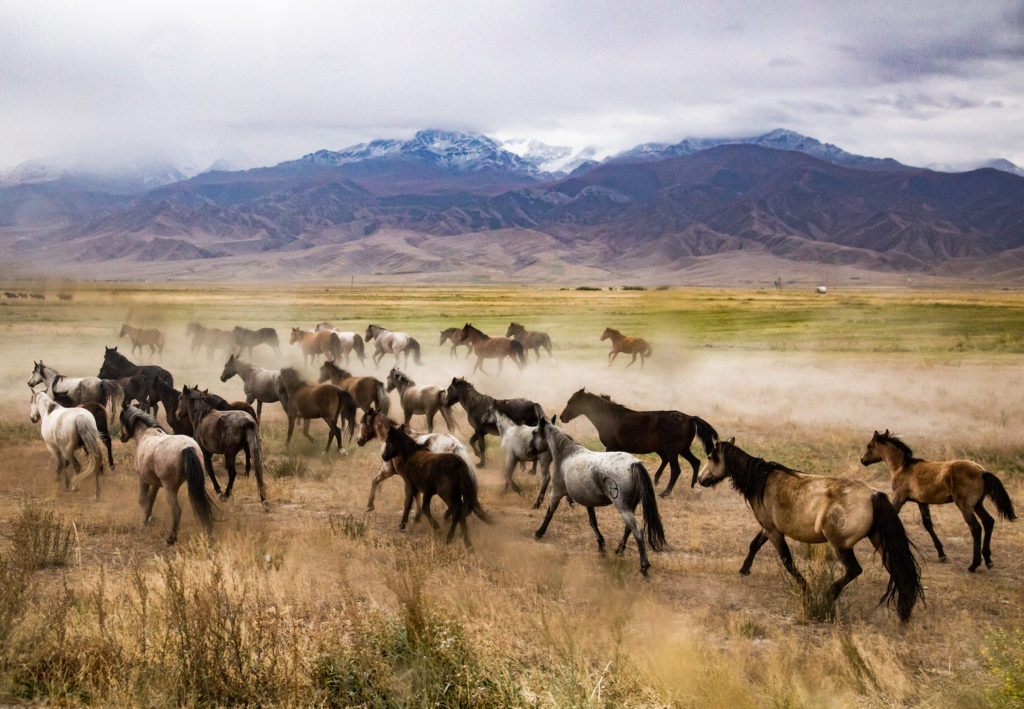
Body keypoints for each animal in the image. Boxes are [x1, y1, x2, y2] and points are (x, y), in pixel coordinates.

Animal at [118, 403, 215, 540]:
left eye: (121, 419)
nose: (120, 436)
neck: (145, 434)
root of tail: (187, 448)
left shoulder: (143, 479)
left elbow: (143, 500)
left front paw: (147, 521)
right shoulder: (156, 484)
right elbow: (151, 501)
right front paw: (148, 520)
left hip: (170, 489)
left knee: (177, 511)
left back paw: (171, 538)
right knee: (202, 506)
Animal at [532, 415, 667, 577]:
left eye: (534, 432)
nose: (530, 450)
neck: (565, 455)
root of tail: (634, 464)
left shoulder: (556, 493)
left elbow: (549, 514)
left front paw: (539, 532)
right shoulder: (587, 501)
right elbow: (593, 522)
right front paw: (601, 546)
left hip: (623, 507)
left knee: (637, 529)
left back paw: (644, 566)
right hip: (631, 506)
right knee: (628, 528)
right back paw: (619, 550)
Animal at [561, 387, 720, 497]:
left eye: (571, 402)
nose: (562, 417)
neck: (610, 419)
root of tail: (690, 418)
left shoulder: (611, 447)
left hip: (673, 450)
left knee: (676, 470)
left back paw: (665, 493)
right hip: (683, 449)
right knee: (695, 462)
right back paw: (695, 488)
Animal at [700, 434, 925, 622]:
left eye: (710, 456)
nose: (701, 480)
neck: (762, 481)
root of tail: (874, 495)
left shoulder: (774, 532)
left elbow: (787, 561)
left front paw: (806, 590)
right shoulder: (768, 528)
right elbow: (754, 544)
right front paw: (744, 570)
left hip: (840, 545)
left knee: (854, 569)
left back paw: (828, 594)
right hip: (879, 540)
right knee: (898, 571)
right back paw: (905, 611)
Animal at [856, 428, 1015, 573]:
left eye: (869, 446)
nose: (863, 460)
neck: (902, 467)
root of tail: (982, 471)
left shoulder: (899, 498)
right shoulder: (922, 502)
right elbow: (928, 525)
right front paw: (941, 554)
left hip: (965, 505)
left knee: (976, 528)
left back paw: (974, 565)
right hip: (977, 505)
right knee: (989, 522)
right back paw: (988, 560)